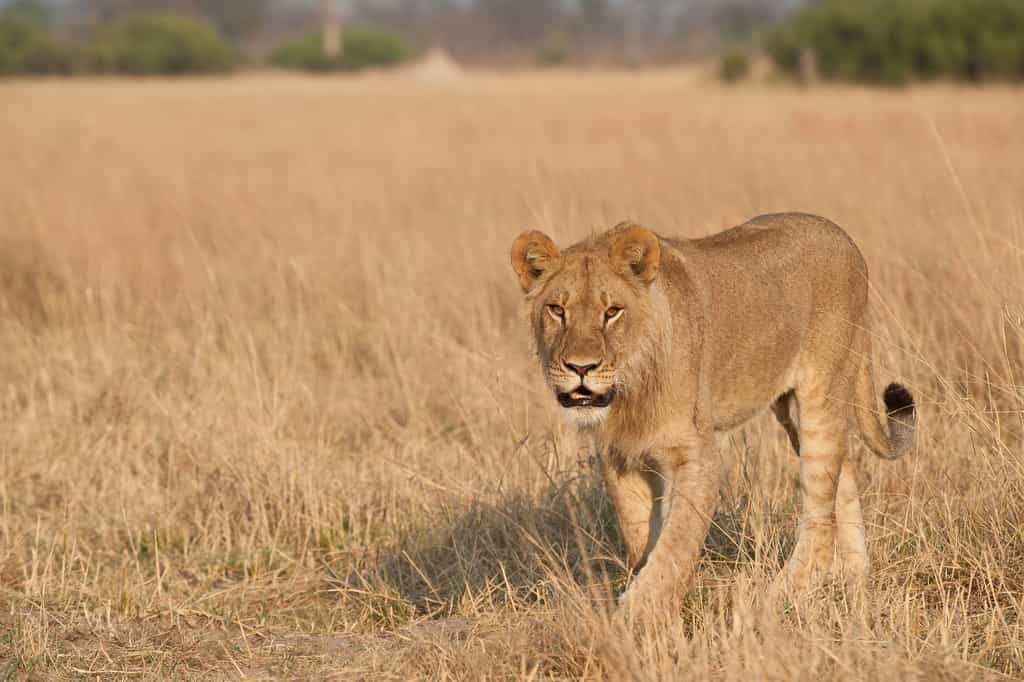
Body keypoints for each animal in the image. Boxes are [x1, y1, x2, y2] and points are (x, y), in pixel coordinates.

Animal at [509, 213, 915, 610]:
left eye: (612, 312)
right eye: (556, 310)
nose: (581, 367)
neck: (630, 392)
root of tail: (844, 236)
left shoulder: (697, 455)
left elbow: (673, 546)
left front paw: (634, 616)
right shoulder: (620, 457)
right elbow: (641, 538)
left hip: (819, 395)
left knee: (819, 517)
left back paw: (773, 600)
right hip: (794, 411)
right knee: (842, 479)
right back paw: (854, 579)